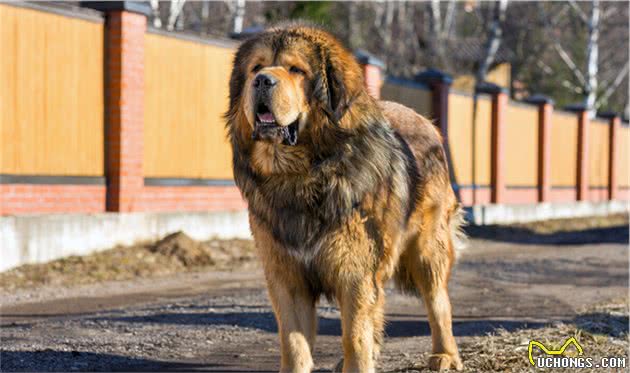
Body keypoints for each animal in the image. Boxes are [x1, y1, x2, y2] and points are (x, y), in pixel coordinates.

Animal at [226, 24, 464, 372]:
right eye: (256, 68)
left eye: (296, 70)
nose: (262, 81)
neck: (300, 176)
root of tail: (428, 124)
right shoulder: (286, 277)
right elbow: (294, 343)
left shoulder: (353, 272)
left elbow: (354, 335)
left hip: (427, 250)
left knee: (438, 303)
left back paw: (445, 355)